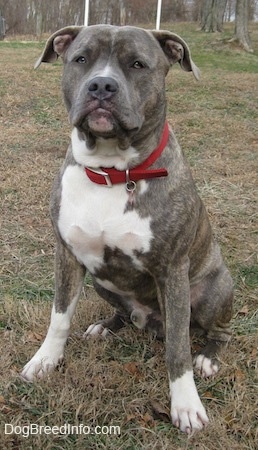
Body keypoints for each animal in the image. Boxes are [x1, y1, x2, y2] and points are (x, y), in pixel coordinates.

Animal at [21, 24, 233, 432]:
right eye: (81, 59)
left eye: (137, 64)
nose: (102, 86)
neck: (113, 173)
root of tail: (148, 321)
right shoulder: (67, 256)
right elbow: (59, 318)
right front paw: (45, 360)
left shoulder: (172, 272)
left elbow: (178, 349)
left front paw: (186, 405)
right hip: (103, 281)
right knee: (123, 312)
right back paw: (107, 326)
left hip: (214, 289)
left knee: (216, 331)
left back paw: (209, 357)